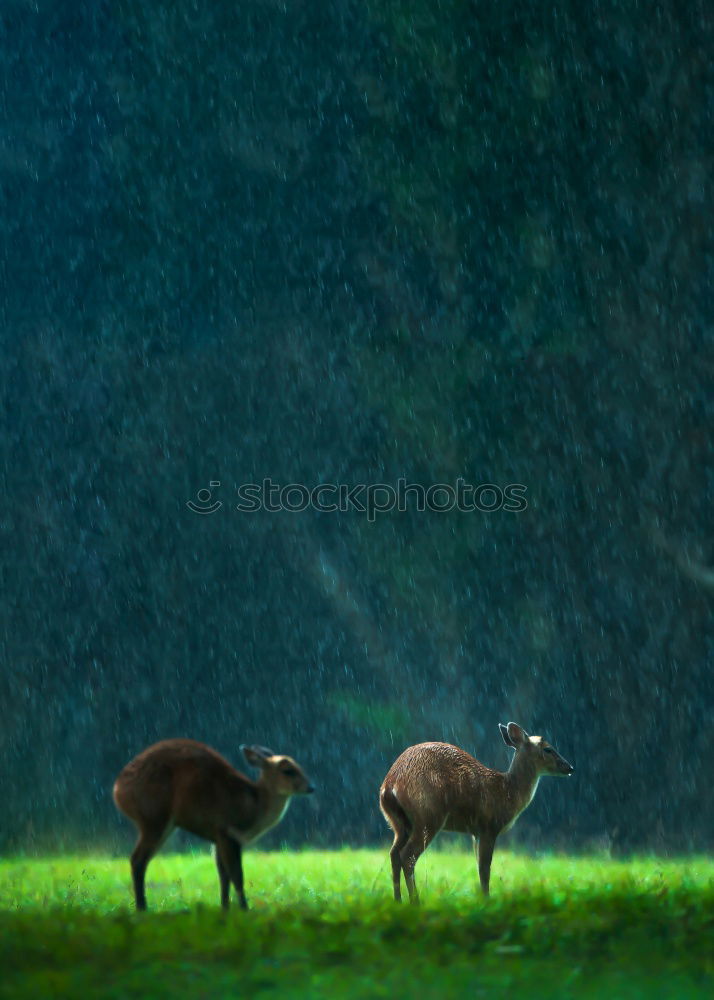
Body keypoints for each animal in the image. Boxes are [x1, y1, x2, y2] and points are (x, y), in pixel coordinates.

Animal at [112, 740, 312, 912]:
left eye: (299, 767)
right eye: (288, 771)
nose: (312, 787)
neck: (253, 806)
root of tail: (118, 790)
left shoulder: (217, 838)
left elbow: (224, 876)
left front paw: (225, 908)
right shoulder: (227, 832)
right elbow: (237, 876)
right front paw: (244, 909)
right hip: (154, 817)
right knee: (137, 860)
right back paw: (142, 908)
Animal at [378, 724, 572, 904]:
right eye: (548, 749)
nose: (570, 767)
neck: (506, 793)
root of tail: (390, 785)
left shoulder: (475, 832)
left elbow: (478, 865)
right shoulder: (489, 826)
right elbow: (485, 868)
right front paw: (487, 899)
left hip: (399, 823)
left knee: (394, 854)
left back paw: (398, 900)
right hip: (428, 816)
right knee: (407, 855)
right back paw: (415, 902)